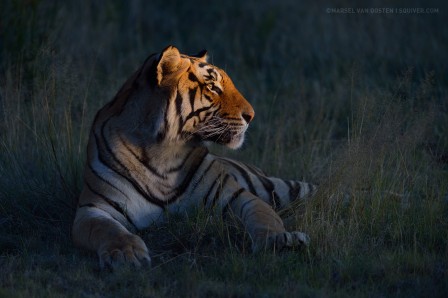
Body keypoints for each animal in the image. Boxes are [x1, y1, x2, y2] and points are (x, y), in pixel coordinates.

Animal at [72, 46, 316, 268]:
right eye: (213, 87)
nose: (251, 115)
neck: (162, 153)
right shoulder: (95, 208)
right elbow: (109, 230)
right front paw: (126, 254)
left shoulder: (236, 196)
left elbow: (264, 216)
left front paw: (279, 240)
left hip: (283, 187)